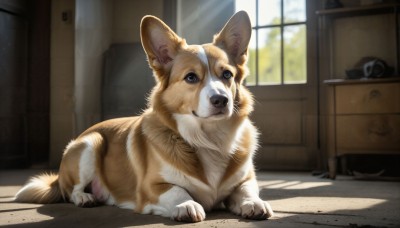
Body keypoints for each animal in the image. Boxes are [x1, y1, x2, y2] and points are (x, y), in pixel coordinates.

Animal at [14, 11, 274, 223]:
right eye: (191, 77)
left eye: (227, 75)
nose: (221, 100)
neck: (208, 138)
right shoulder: (151, 187)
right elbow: (177, 190)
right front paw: (187, 204)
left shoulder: (246, 179)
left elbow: (247, 190)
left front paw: (254, 203)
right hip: (90, 144)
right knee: (71, 190)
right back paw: (85, 198)